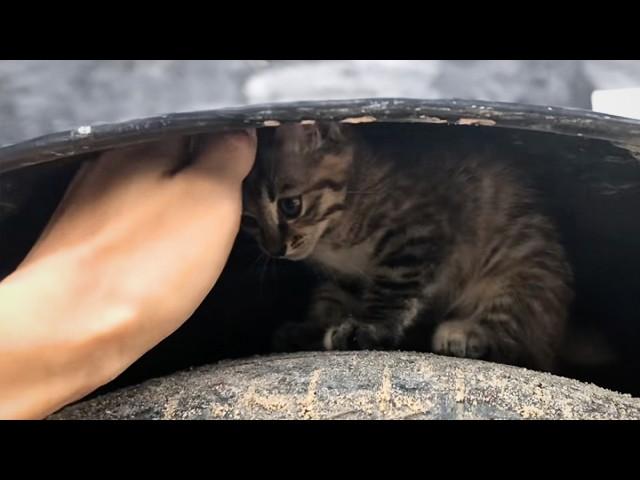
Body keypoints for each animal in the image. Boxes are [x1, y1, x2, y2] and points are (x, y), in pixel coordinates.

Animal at [242, 121, 572, 372]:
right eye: (248, 220)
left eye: (290, 206)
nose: (275, 249)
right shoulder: (347, 278)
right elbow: (334, 301)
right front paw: (312, 328)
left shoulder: (416, 234)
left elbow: (392, 290)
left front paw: (367, 327)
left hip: (519, 269)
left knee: (515, 342)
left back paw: (466, 332)